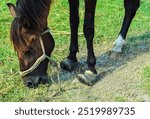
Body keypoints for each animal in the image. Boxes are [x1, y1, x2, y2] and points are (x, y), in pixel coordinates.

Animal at [7, 0, 140, 87]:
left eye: (27, 51)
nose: (28, 82)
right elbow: (73, 21)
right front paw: (71, 58)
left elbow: (88, 28)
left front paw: (90, 69)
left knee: (130, 7)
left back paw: (118, 45)